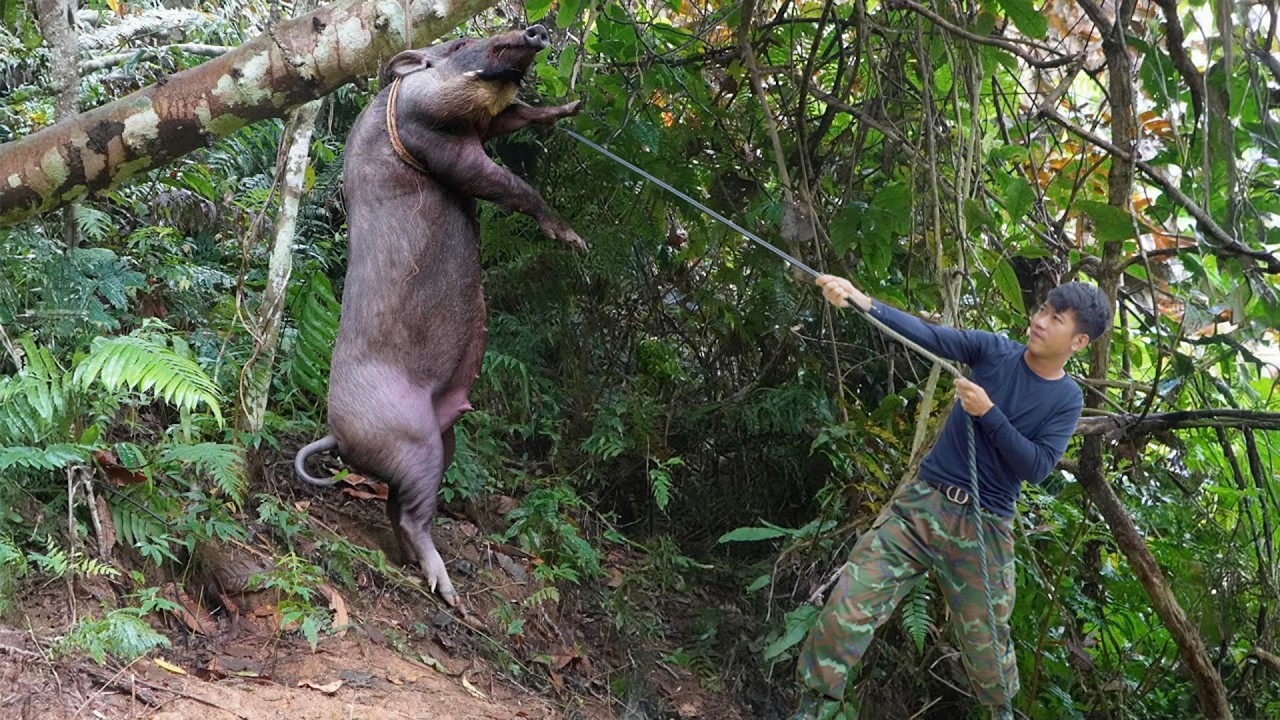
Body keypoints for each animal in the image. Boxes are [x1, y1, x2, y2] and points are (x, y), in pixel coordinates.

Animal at [294, 25, 584, 607]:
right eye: (458, 45)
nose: (534, 29)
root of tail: (337, 434)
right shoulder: (435, 138)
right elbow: (507, 185)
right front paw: (573, 241)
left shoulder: (483, 124)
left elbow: (518, 114)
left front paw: (572, 105)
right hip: (415, 441)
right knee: (411, 514)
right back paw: (446, 590)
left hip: (442, 439)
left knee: (396, 504)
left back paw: (417, 568)